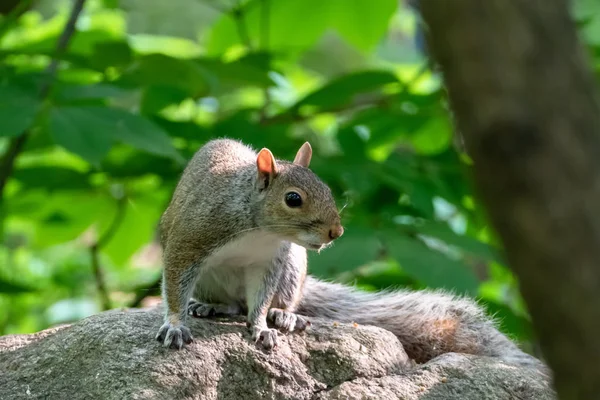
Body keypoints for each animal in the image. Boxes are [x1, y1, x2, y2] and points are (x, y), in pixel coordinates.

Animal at [154, 138, 544, 368]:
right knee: (228, 303)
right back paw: (208, 306)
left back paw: (285, 316)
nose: (336, 232)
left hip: (293, 266)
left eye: (327, 188)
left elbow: (260, 300)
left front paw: (263, 325)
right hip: (212, 278)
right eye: (293, 198)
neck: (258, 229)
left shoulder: (270, 261)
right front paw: (175, 325)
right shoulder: (190, 240)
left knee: (256, 302)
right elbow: (174, 282)